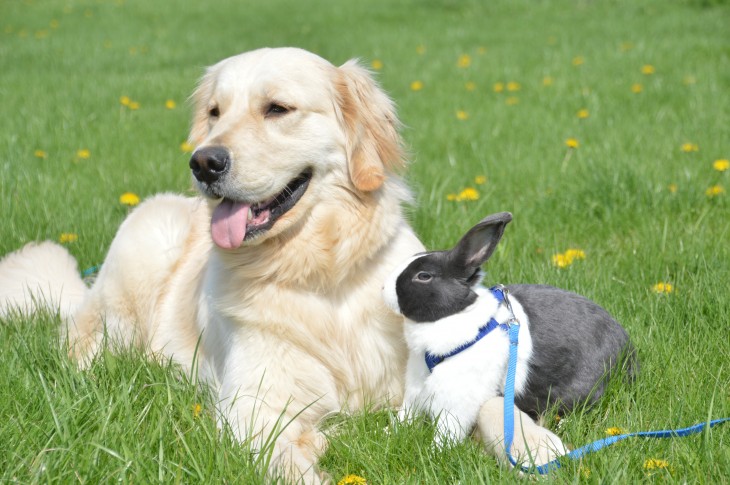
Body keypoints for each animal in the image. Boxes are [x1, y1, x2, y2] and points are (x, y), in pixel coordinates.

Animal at [0, 45, 424, 480]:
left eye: (277, 108)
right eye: (215, 112)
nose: (203, 162)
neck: (320, 271)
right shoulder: (252, 406)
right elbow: (289, 464)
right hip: (144, 247)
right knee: (83, 353)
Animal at [384, 211, 636, 462]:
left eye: (424, 276)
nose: (384, 288)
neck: (457, 316)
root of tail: (628, 349)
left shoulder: (458, 400)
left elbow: (448, 429)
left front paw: (434, 453)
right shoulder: (416, 388)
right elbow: (407, 415)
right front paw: (390, 431)